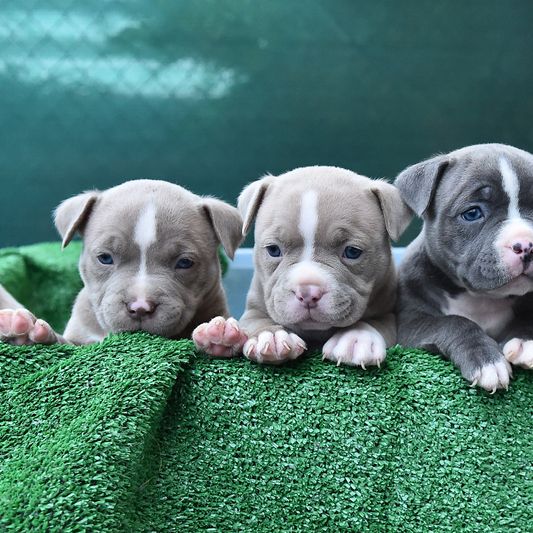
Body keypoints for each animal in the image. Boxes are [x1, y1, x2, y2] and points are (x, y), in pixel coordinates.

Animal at [194, 166, 412, 366]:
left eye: (352, 252)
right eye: (273, 249)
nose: (307, 293)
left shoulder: (388, 312)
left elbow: (375, 322)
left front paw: (357, 338)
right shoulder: (255, 307)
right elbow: (257, 320)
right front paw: (272, 337)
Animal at [394, 143, 533, 392]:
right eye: (472, 213)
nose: (526, 244)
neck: (480, 298)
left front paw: (524, 340)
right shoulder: (410, 323)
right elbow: (454, 322)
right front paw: (487, 360)